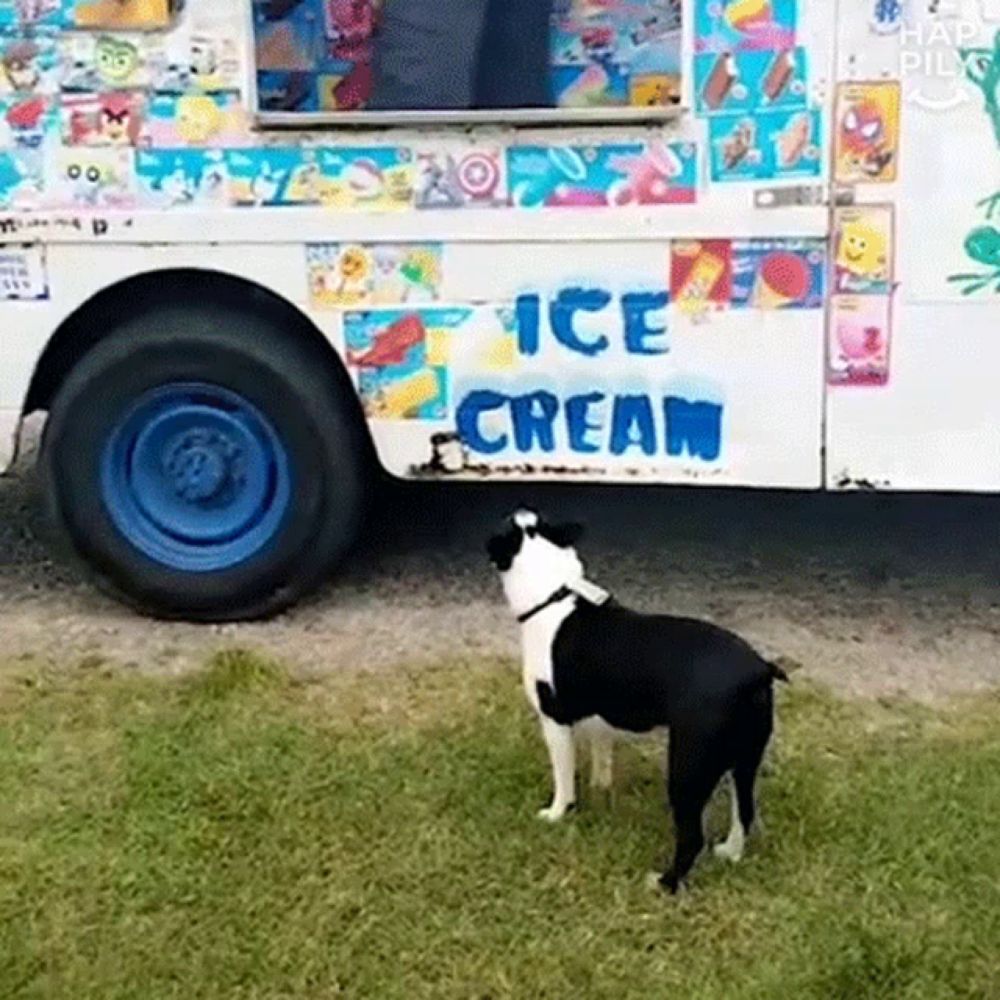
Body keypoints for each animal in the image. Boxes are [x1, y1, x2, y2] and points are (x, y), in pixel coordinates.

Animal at [490, 508, 788, 892]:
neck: (554, 596)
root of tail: (757, 669)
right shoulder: (600, 720)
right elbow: (602, 757)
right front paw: (601, 789)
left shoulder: (554, 721)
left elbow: (563, 776)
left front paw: (557, 813)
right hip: (744, 759)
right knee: (744, 810)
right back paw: (730, 853)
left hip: (688, 765)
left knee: (691, 836)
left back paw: (665, 883)